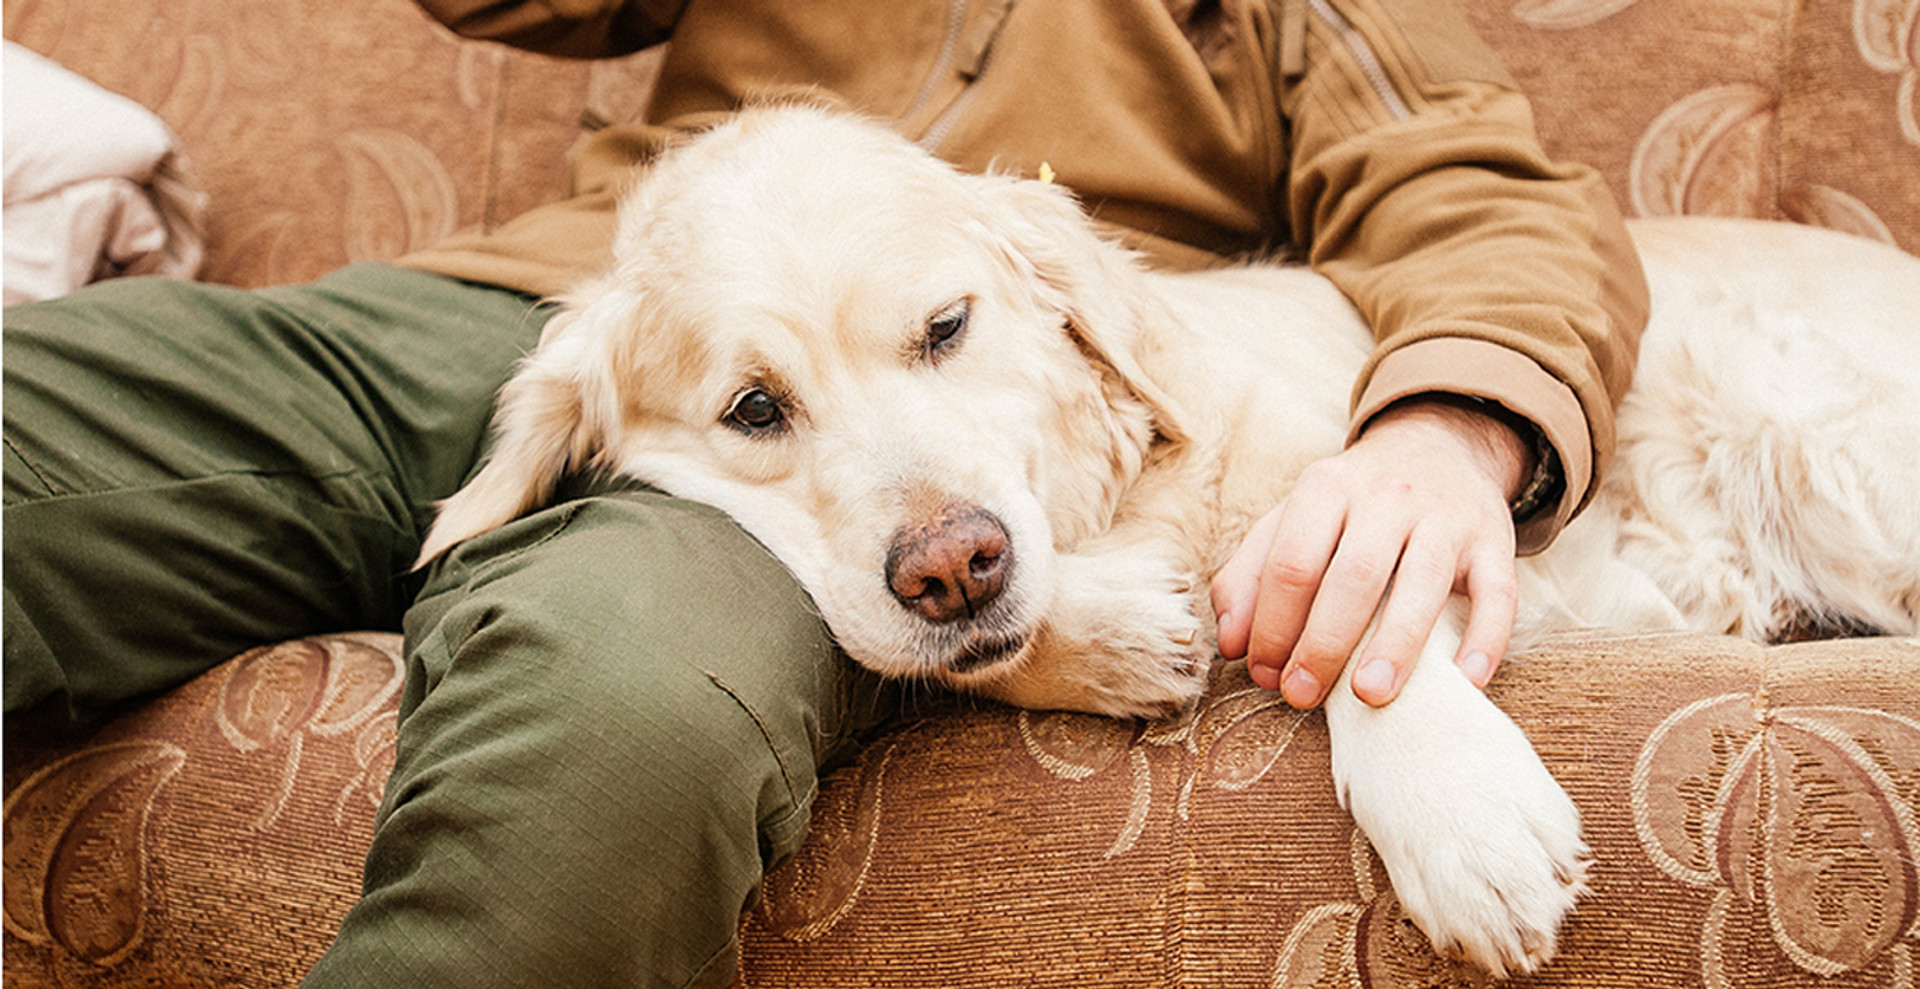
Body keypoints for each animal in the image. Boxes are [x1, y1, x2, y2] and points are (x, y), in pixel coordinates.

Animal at [424, 106, 1920, 975]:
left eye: (948, 326)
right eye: (754, 410)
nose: (952, 562)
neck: (1128, 493)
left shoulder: (1378, 501)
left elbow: (1366, 608)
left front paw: (1460, 815)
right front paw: (1114, 634)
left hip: (1812, 445)